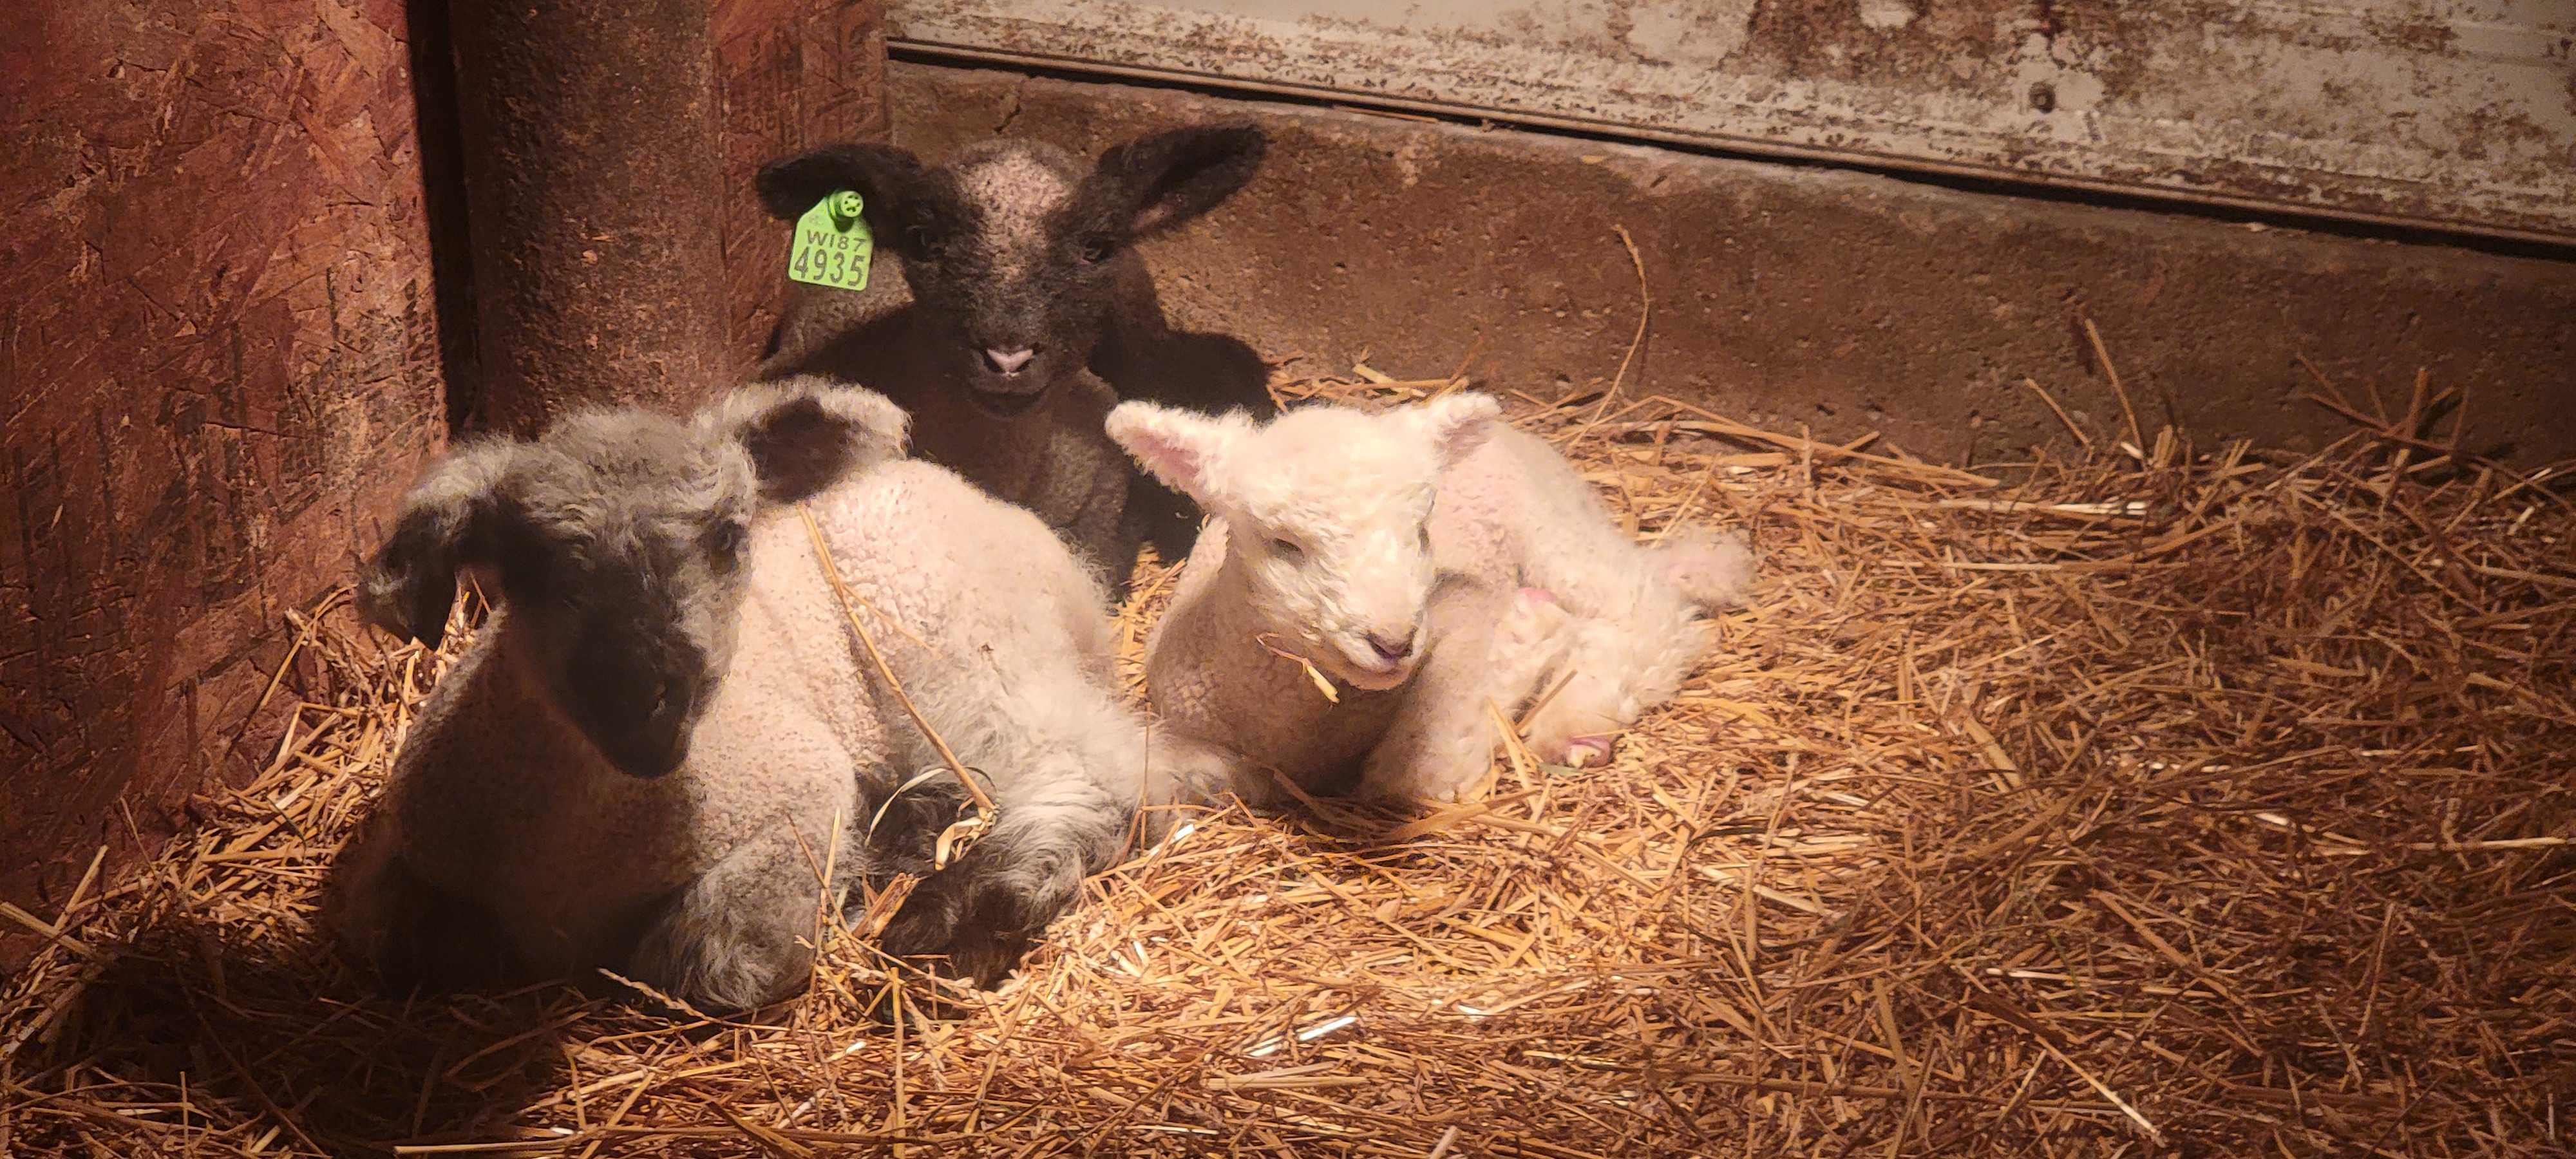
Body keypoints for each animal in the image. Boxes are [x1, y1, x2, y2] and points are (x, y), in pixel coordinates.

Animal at [328, 377, 1222, 1008]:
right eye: (527, 568)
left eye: (730, 537)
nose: (644, 702)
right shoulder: (400, 863)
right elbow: (402, 947)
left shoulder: (801, 798)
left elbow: (706, 962)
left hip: (958, 648)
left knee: (1110, 769)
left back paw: (983, 898)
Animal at [1107, 392, 1755, 804]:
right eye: (1284, 544)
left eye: (1421, 530)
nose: (1394, 642)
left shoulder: (1462, 621)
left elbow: (1417, 775)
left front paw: (1527, 632)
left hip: (1555, 528)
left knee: (1647, 610)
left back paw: (1575, 720)